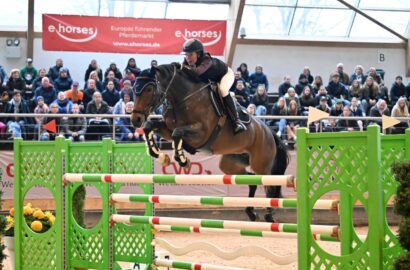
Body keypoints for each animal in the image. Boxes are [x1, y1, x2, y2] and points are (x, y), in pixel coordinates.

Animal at [131, 63, 288, 221]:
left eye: (149, 89)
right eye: (133, 89)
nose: (135, 119)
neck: (182, 99)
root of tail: (268, 131)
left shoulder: (201, 134)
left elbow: (177, 133)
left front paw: (182, 160)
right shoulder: (167, 130)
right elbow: (149, 126)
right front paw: (161, 156)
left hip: (260, 164)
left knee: (269, 186)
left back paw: (268, 215)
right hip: (230, 164)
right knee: (252, 181)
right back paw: (251, 212)